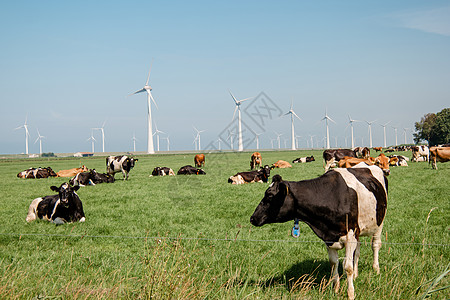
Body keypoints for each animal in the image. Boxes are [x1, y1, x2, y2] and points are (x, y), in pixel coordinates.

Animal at [251, 164, 388, 300]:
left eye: (269, 196)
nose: (252, 218)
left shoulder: (350, 235)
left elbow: (347, 267)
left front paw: (350, 293)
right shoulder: (329, 237)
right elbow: (334, 263)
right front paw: (336, 289)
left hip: (379, 222)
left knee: (375, 245)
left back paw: (376, 269)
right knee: (358, 251)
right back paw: (356, 275)